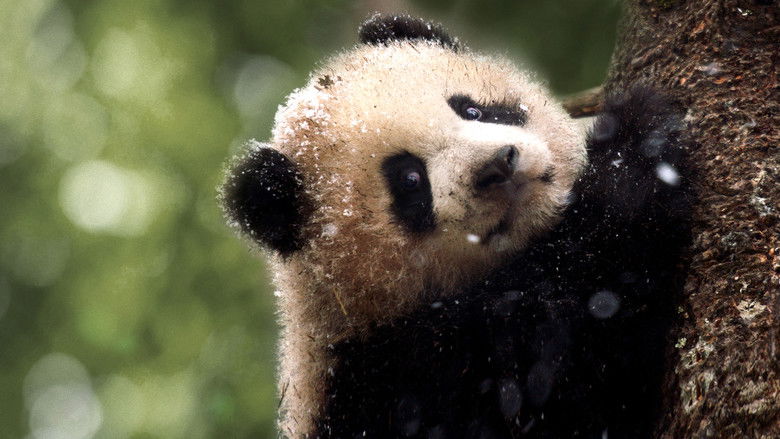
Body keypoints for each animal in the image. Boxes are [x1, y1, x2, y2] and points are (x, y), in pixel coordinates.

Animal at [220, 14, 692, 439]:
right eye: (411, 180)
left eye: (473, 108)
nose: (499, 166)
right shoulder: (404, 383)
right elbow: (556, 348)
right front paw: (636, 147)